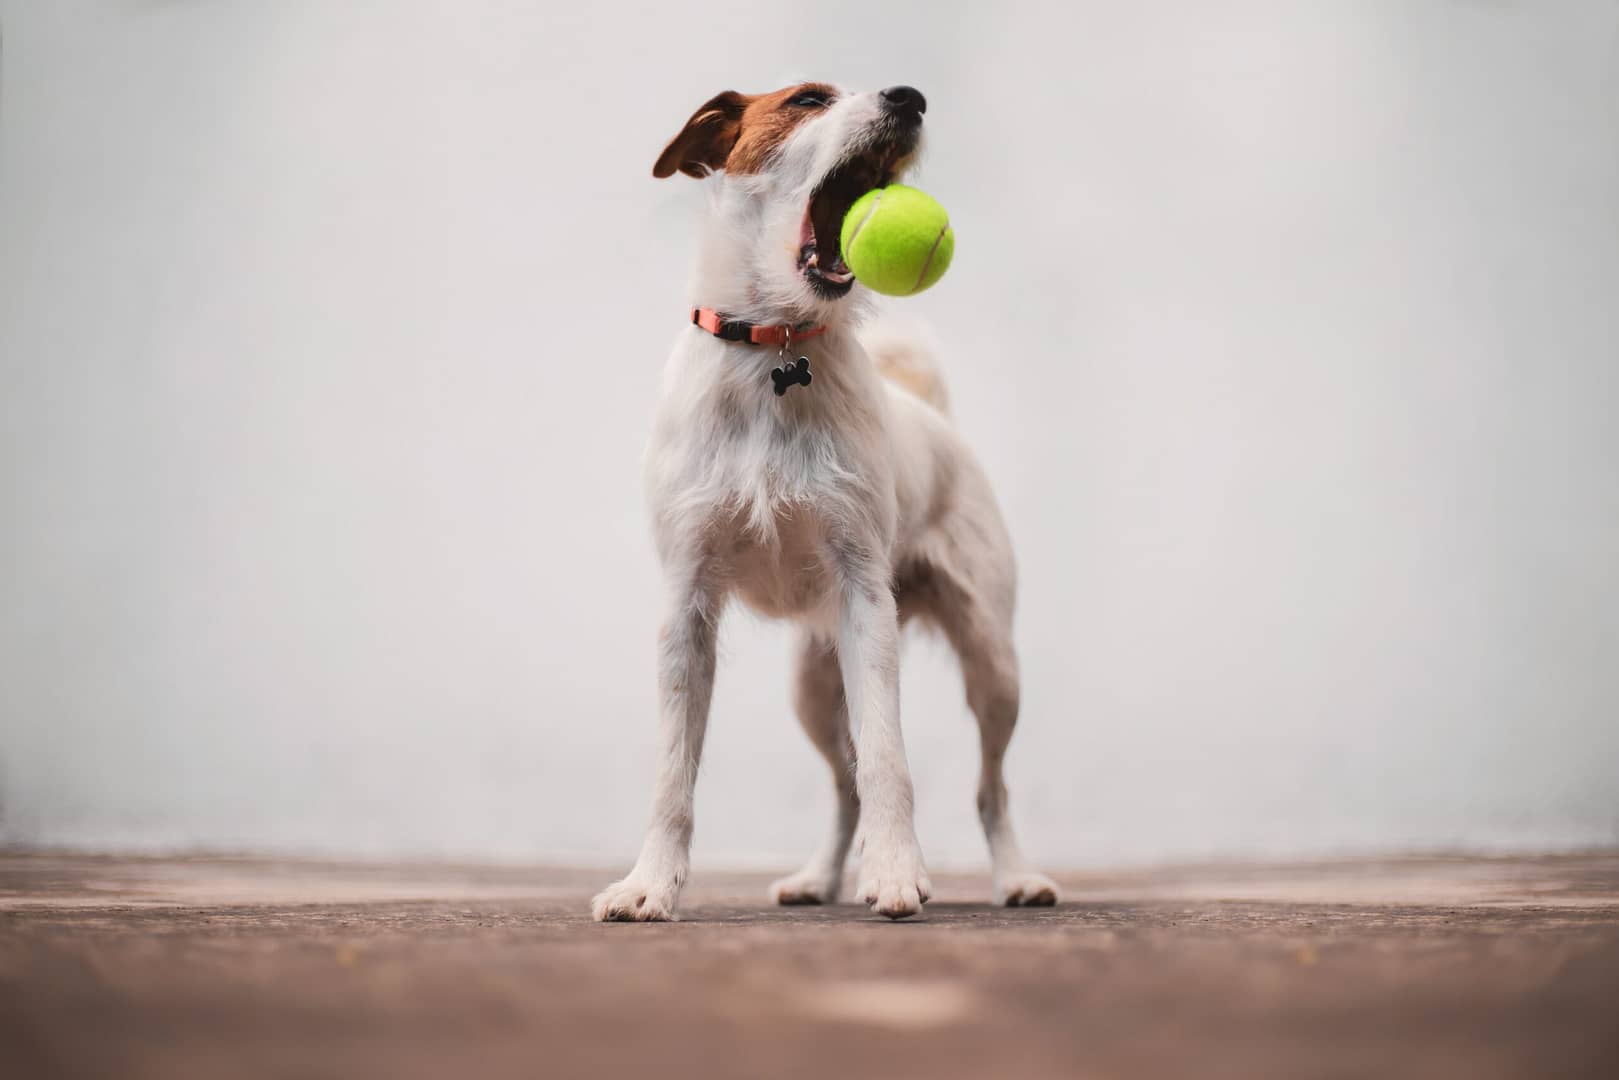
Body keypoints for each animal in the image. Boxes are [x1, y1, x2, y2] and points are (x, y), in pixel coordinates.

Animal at [595, 80, 1062, 919]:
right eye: (807, 100)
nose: (909, 97)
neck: (774, 346)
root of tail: (932, 416)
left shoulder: (863, 599)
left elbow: (886, 757)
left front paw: (896, 872)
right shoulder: (686, 609)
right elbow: (673, 776)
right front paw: (649, 883)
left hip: (992, 662)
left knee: (989, 788)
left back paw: (1016, 877)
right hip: (811, 687)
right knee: (842, 785)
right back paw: (817, 877)